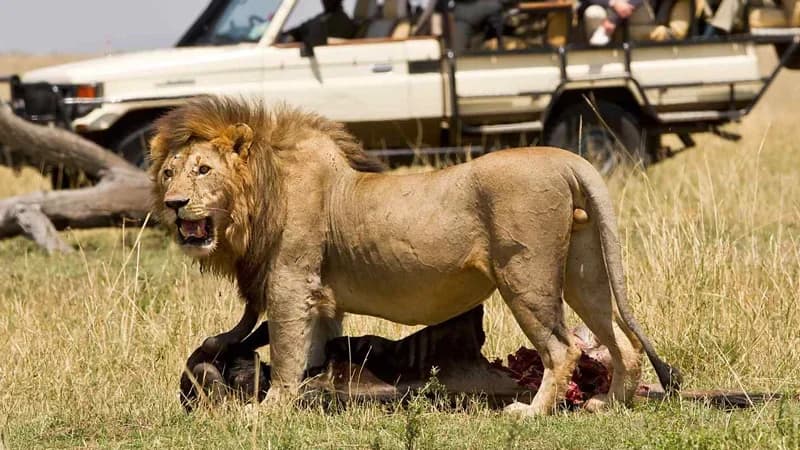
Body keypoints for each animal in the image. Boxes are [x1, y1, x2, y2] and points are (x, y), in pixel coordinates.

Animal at [150, 96, 681, 416]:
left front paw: (268, 408)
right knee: (622, 343)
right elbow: (314, 349)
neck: (259, 195)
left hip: (525, 277)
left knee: (563, 348)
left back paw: (532, 412)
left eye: (203, 170)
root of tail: (566, 158)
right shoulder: (319, 299)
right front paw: (315, 391)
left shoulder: (290, 284)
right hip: (583, 274)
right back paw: (610, 404)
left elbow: (284, 354)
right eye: (168, 173)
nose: (175, 205)